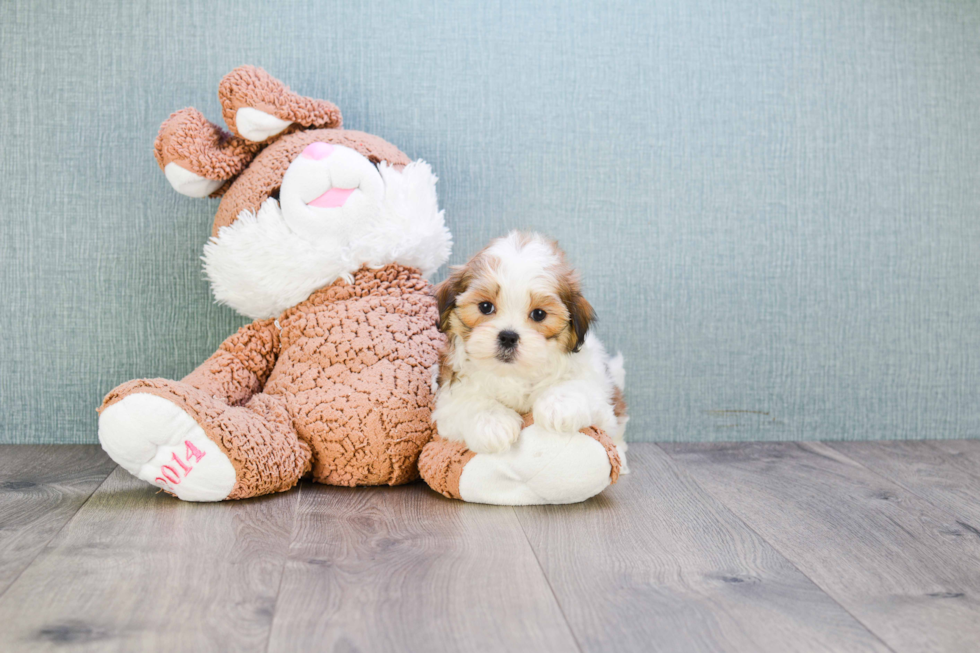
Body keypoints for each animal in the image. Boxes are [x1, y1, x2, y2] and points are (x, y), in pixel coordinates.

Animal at [434, 232, 628, 466]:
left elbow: (580, 384)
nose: (508, 337)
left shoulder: (594, 381)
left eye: (539, 314)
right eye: (485, 307)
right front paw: (492, 423)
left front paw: (559, 405)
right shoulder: (448, 397)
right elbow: (467, 400)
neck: (514, 373)